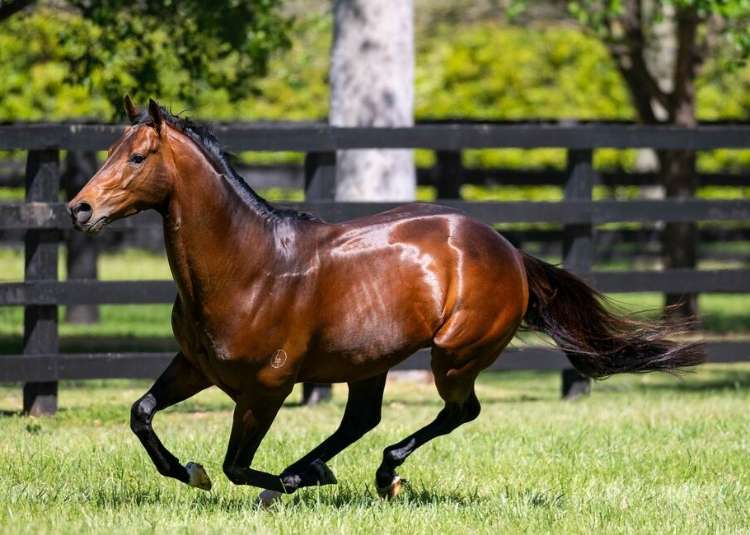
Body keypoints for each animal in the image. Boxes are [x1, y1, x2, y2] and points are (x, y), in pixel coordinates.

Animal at [68, 97, 703, 505]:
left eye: (137, 157)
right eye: (110, 150)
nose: (79, 209)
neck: (249, 266)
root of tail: (507, 250)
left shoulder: (268, 385)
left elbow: (236, 465)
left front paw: (277, 485)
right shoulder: (196, 366)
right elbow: (142, 414)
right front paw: (189, 472)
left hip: (455, 355)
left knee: (458, 412)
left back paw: (374, 474)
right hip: (368, 361)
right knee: (363, 418)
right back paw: (320, 467)